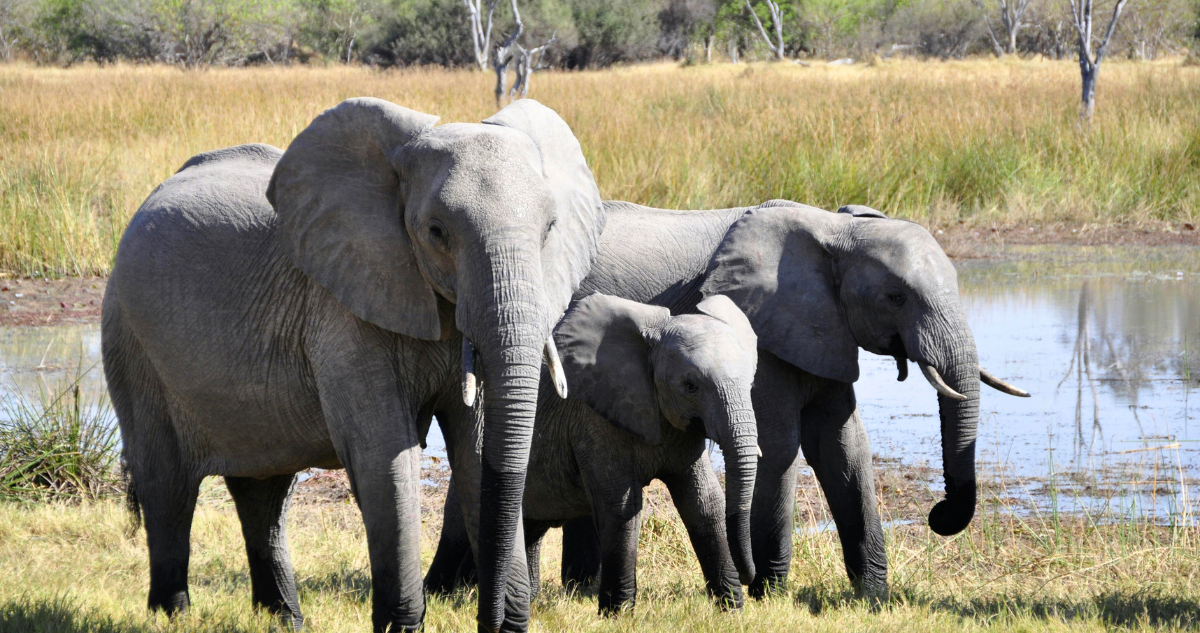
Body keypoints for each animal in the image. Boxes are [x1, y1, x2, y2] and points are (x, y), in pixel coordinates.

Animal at [101, 97, 606, 633]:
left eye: (549, 230)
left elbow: (476, 445)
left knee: (264, 491)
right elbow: (383, 451)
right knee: (168, 485)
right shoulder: (342, 309)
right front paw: (400, 629)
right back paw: (171, 615)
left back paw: (285, 620)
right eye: (437, 232)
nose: (491, 621)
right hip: (130, 338)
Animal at [428, 292, 760, 614]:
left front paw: (732, 610)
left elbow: (704, 503)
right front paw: (618, 614)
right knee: (459, 527)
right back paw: (438, 597)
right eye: (690, 386)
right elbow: (621, 506)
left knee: (530, 527)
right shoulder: (593, 420)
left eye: (750, 381)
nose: (750, 577)